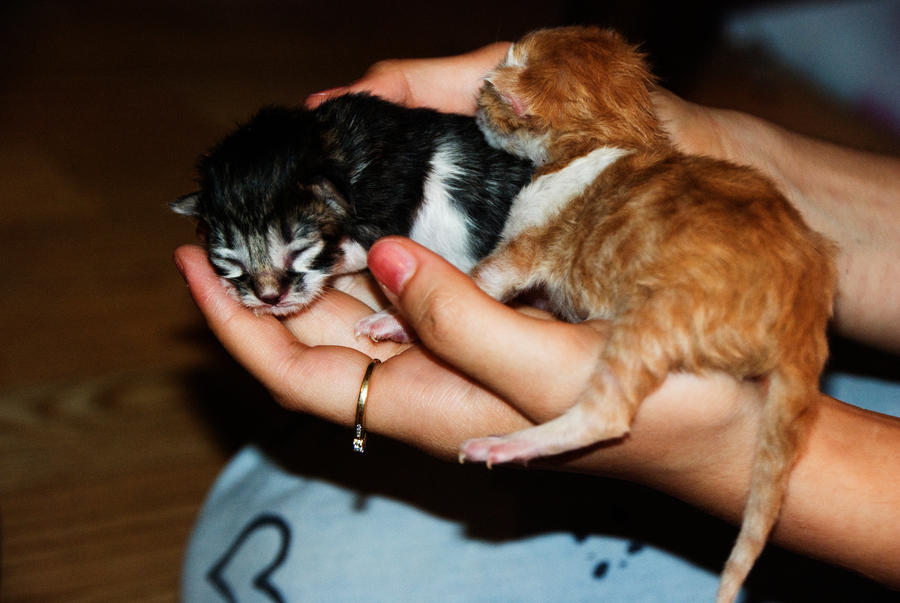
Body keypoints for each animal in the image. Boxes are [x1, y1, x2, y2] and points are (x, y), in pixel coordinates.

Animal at [172, 93, 532, 340]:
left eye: (301, 251)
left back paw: (390, 321)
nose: (271, 298)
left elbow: (356, 250)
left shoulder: (389, 200)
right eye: (230, 260)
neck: (339, 151)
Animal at [464, 26, 836, 600]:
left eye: (493, 81)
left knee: (607, 413)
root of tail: (806, 311)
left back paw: (506, 446)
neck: (608, 137)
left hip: (655, 315)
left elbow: (484, 277)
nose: (473, 99)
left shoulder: (528, 243)